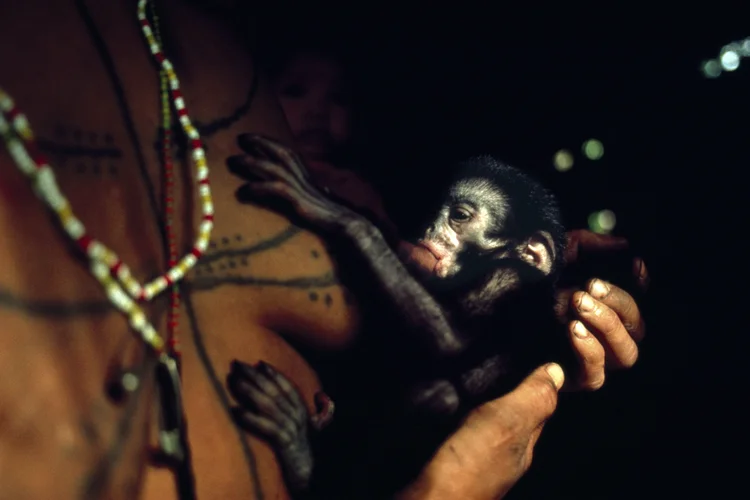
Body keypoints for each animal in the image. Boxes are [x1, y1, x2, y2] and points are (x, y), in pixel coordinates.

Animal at [225, 135, 572, 498]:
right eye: (430, 215)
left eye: (459, 216)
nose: (429, 229)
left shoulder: (509, 278)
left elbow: (452, 343)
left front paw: (340, 213)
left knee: (438, 395)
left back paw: (303, 462)